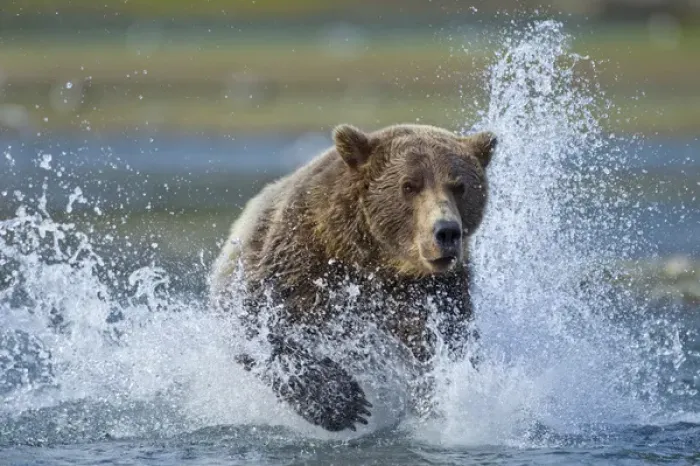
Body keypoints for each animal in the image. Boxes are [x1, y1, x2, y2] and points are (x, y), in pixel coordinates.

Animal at [210, 123, 496, 432]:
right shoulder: (298, 257)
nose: (446, 232)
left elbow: (446, 342)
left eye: (460, 186)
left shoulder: (437, 291)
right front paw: (344, 404)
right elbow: (259, 325)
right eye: (409, 185)